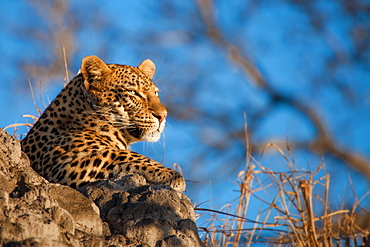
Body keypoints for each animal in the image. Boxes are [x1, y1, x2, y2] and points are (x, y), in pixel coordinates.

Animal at [21, 55, 185, 191]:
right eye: (133, 93)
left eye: (156, 93)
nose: (163, 115)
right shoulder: (63, 163)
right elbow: (121, 154)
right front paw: (172, 175)